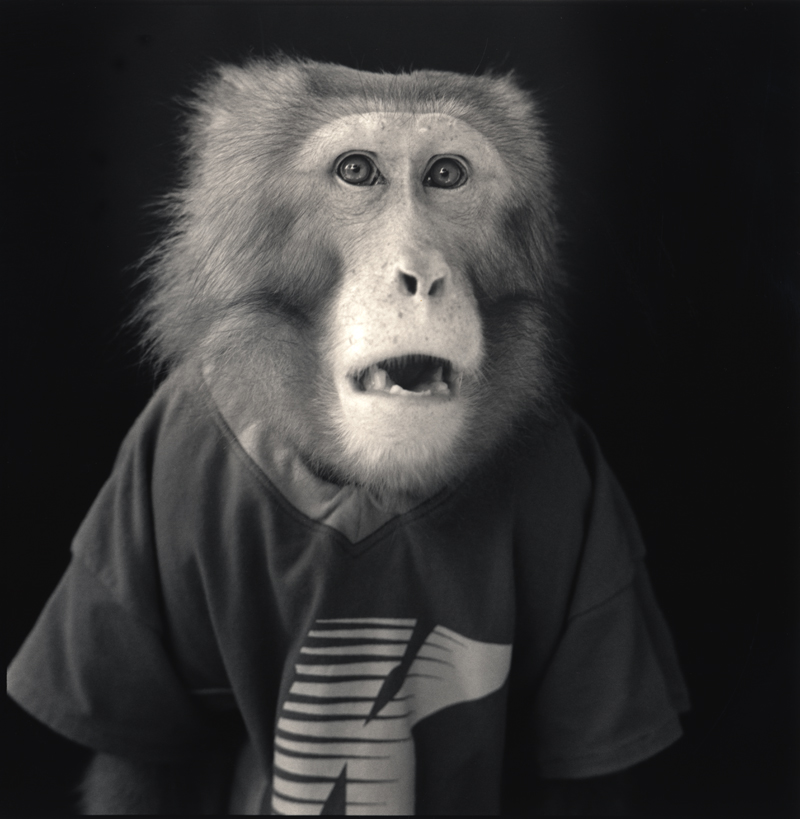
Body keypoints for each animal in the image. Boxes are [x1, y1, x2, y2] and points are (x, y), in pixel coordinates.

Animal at [7, 57, 689, 815]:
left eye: (446, 174)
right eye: (357, 170)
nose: (423, 276)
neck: (370, 481)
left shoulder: (581, 506)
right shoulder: (153, 482)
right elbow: (149, 763)